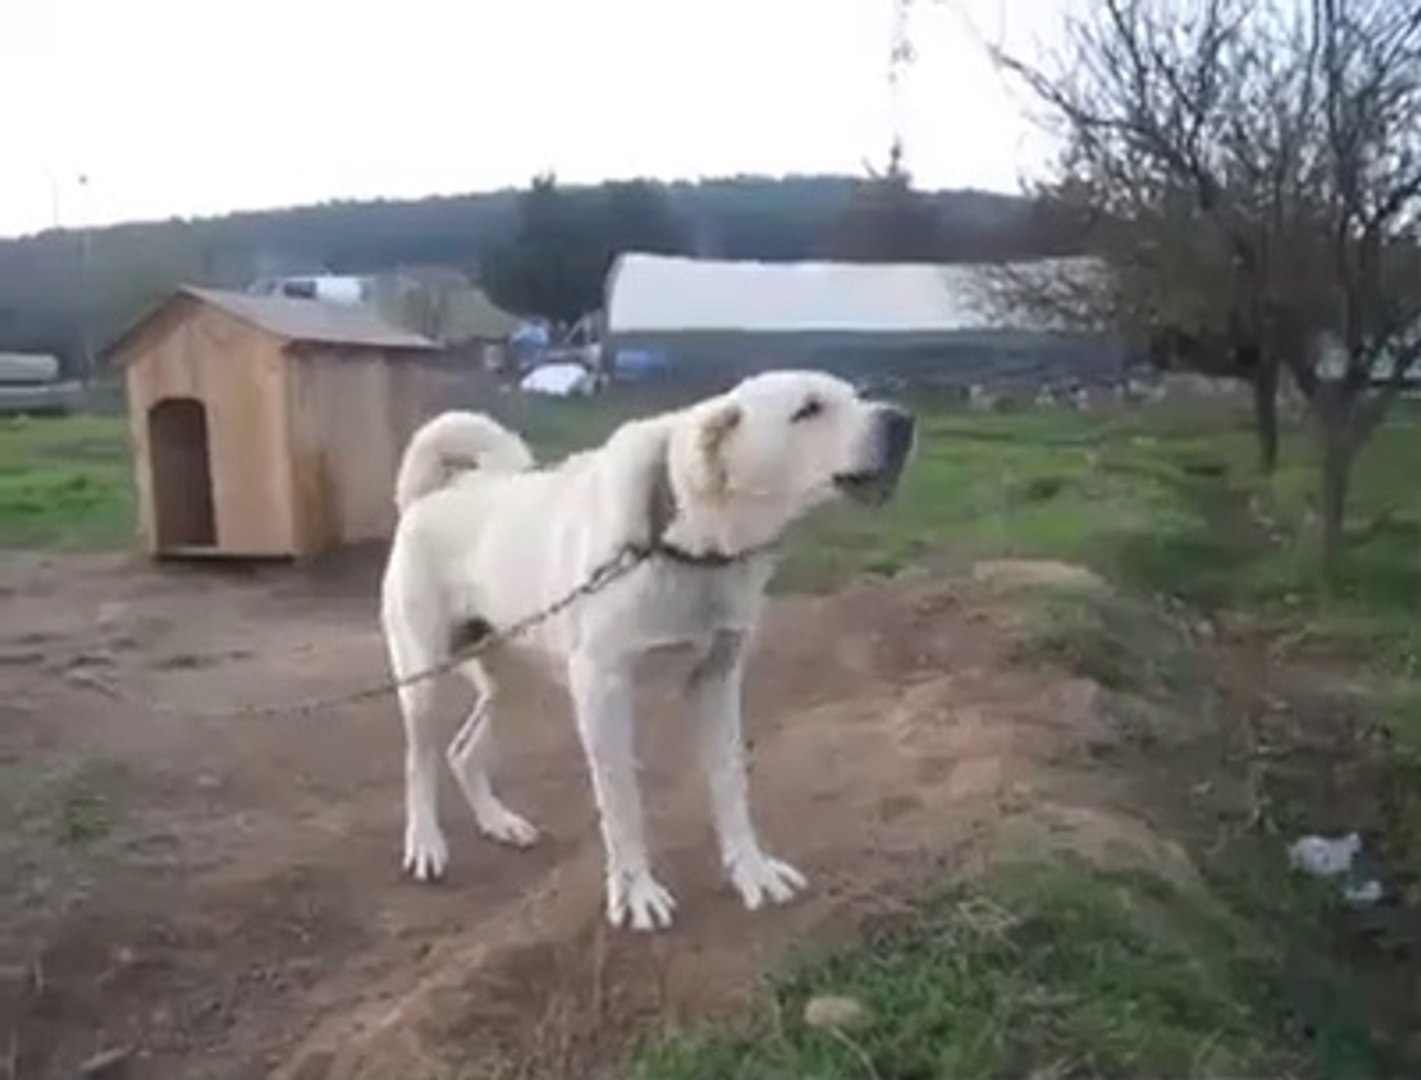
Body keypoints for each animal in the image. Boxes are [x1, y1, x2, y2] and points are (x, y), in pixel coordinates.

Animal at [380, 372, 909, 926]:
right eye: (808, 410)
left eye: (856, 396)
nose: (903, 421)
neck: (685, 543)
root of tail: (431, 495)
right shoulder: (603, 689)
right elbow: (622, 802)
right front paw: (636, 893)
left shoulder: (718, 680)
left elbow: (730, 784)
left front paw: (751, 871)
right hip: (424, 683)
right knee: (421, 761)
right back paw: (426, 844)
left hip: (516, 684)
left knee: (463, 752)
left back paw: (498, 822)